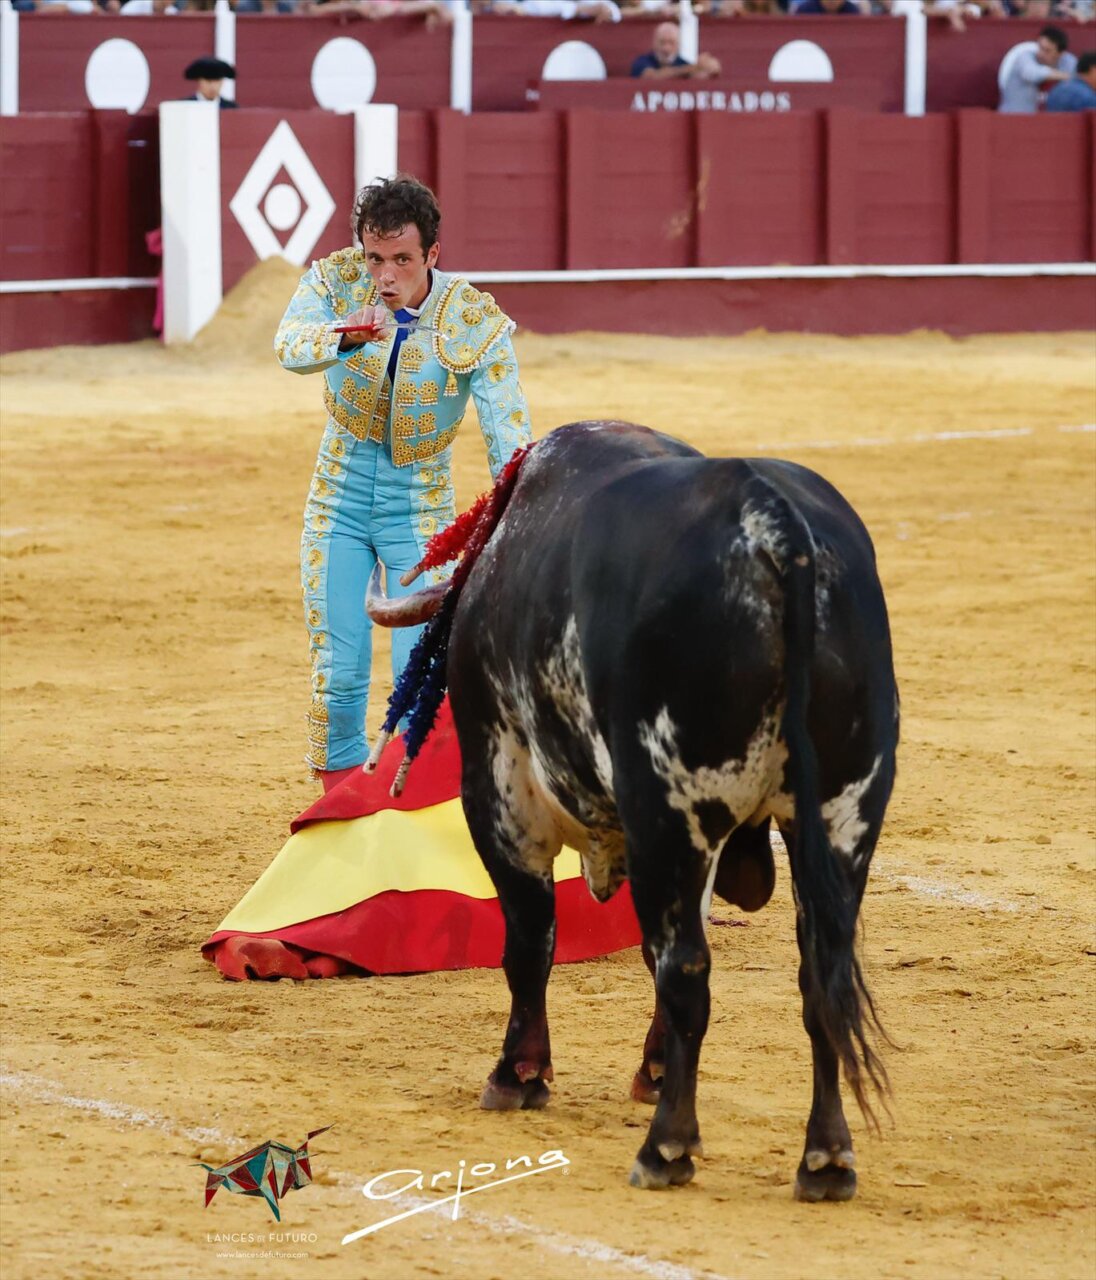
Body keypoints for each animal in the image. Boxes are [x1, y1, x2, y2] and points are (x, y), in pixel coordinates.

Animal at [367, 421, 897, 1199]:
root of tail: (777, 528)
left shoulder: (500, 795)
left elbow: (530, 940)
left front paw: (518, 1073)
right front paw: (649, 1067)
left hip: (672, 812)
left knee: (687, 970)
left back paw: (667, 1147)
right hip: (841, 820)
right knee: (818, 975)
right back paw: (826, 1159)